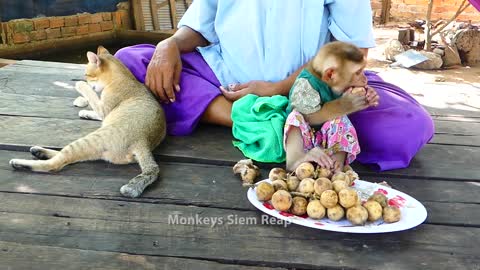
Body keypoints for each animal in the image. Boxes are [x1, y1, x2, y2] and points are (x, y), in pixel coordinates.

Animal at [9, 46, 167, 197]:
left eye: (87, 75)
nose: (85, 79)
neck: (124, 77)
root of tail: (143, 143)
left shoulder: (103, 108)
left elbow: (92, 97)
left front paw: (81, 85)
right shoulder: (103, 111)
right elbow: (93, 106)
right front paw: (84, 111)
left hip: (90, 141)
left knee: (56, 163)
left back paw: (20, 162)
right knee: (66, 157)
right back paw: (38, 151)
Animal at [284, 41, 378, 173]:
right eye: (358, 72)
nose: (365, 78)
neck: (324, 82)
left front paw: (372, 94)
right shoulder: (305, 87)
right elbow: (309, 116)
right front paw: (346, 103)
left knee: (340, 119)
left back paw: (338, 162)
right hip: (309, 143)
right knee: (296, 116)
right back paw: (298, 160)